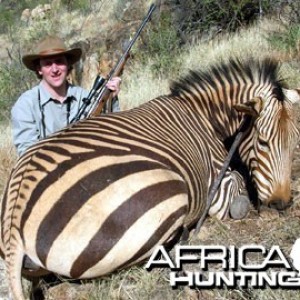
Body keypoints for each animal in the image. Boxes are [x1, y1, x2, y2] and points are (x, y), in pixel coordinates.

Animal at [0, 57, 298, 298]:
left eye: (295, 142)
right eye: (262, 142)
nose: (282, 203)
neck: (203, 117)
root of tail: (16, 214)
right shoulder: (219, 186)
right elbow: (239, 195)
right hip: (169, 195)